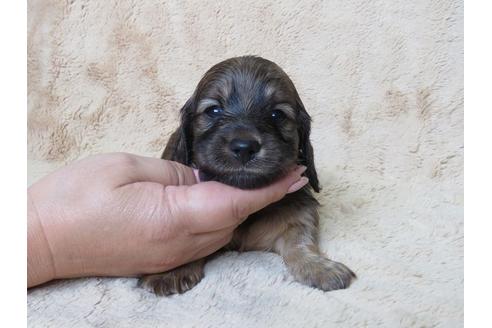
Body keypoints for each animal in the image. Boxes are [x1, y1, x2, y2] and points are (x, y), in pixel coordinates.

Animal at [137, 55, 354, 294]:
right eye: (213, 110)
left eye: (277, 114)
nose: (244, 147)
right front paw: (173, 271)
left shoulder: (297, 211)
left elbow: (300, 240)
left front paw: (319, 267)